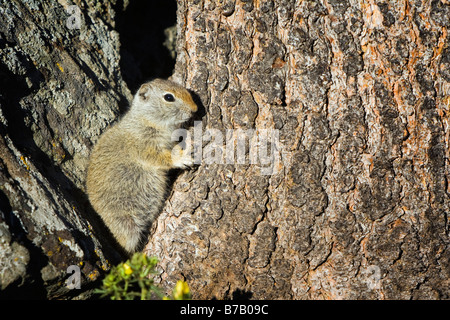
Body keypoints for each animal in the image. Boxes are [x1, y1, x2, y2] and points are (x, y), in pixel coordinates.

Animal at [85, 79, 197, 254]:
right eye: (169, 97)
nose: (195, 109)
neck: (145, 118)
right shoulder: (144, 146)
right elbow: (161, 158)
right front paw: (181, 157)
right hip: (125, 223)